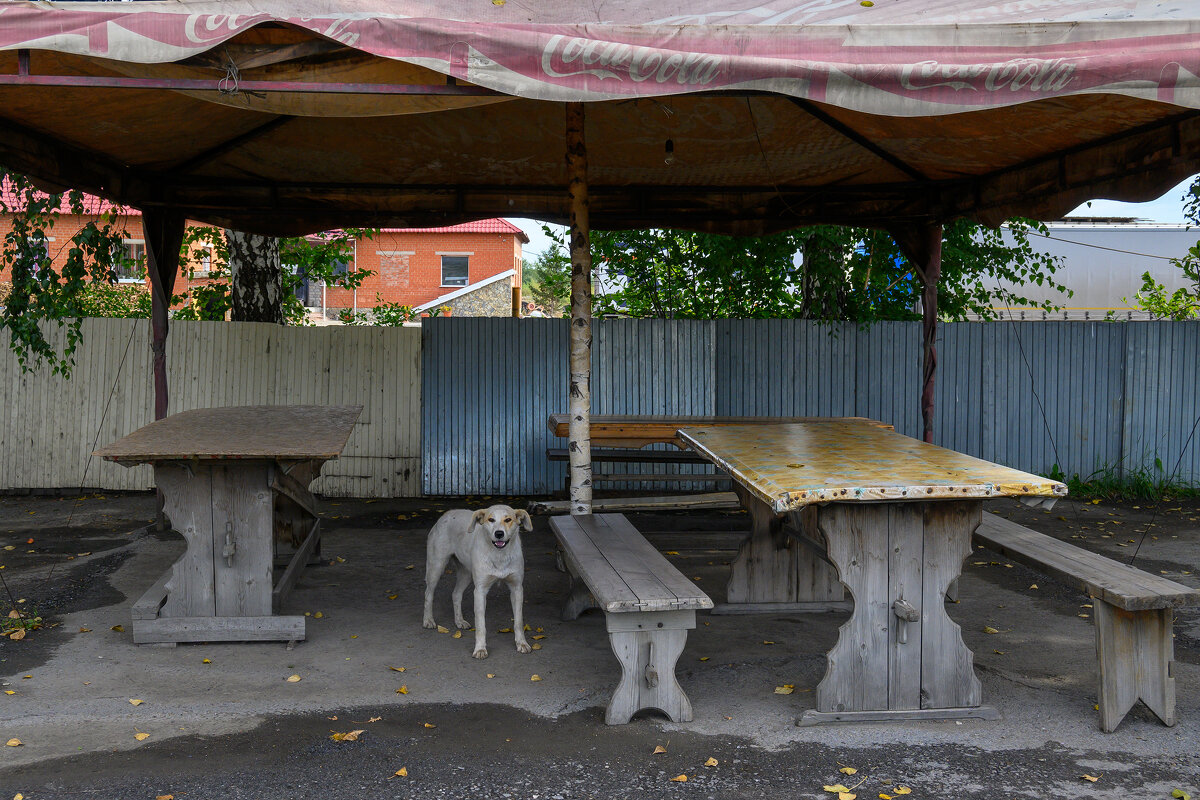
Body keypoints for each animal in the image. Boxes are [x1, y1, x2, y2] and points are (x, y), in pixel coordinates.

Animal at [424, 506, 532, 657]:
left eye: (508, 519)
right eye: (491, 519)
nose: (499, 533)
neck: (499, 555)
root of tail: (447, 513)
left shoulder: (517, 589)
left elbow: (518, 621)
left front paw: (522, 643)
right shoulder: (480, 591)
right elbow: (481, 625)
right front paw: (480, 649)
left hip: (466, 573)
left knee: (456, 594)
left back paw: (459, 621)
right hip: (436, 567)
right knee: (429, 594)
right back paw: (428, 620)